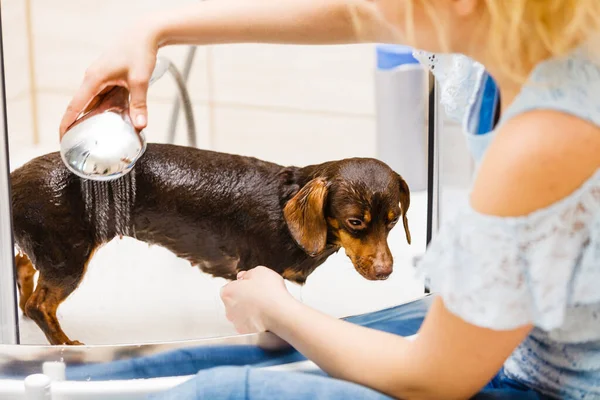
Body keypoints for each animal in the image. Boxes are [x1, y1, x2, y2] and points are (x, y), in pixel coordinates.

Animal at [10, 91, 412, 346]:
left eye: (393, 220)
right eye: (355, 222)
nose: (385, 272)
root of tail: (12, 178)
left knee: (22, 268)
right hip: (68, 257)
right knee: (40, 304)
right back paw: (64, 344)